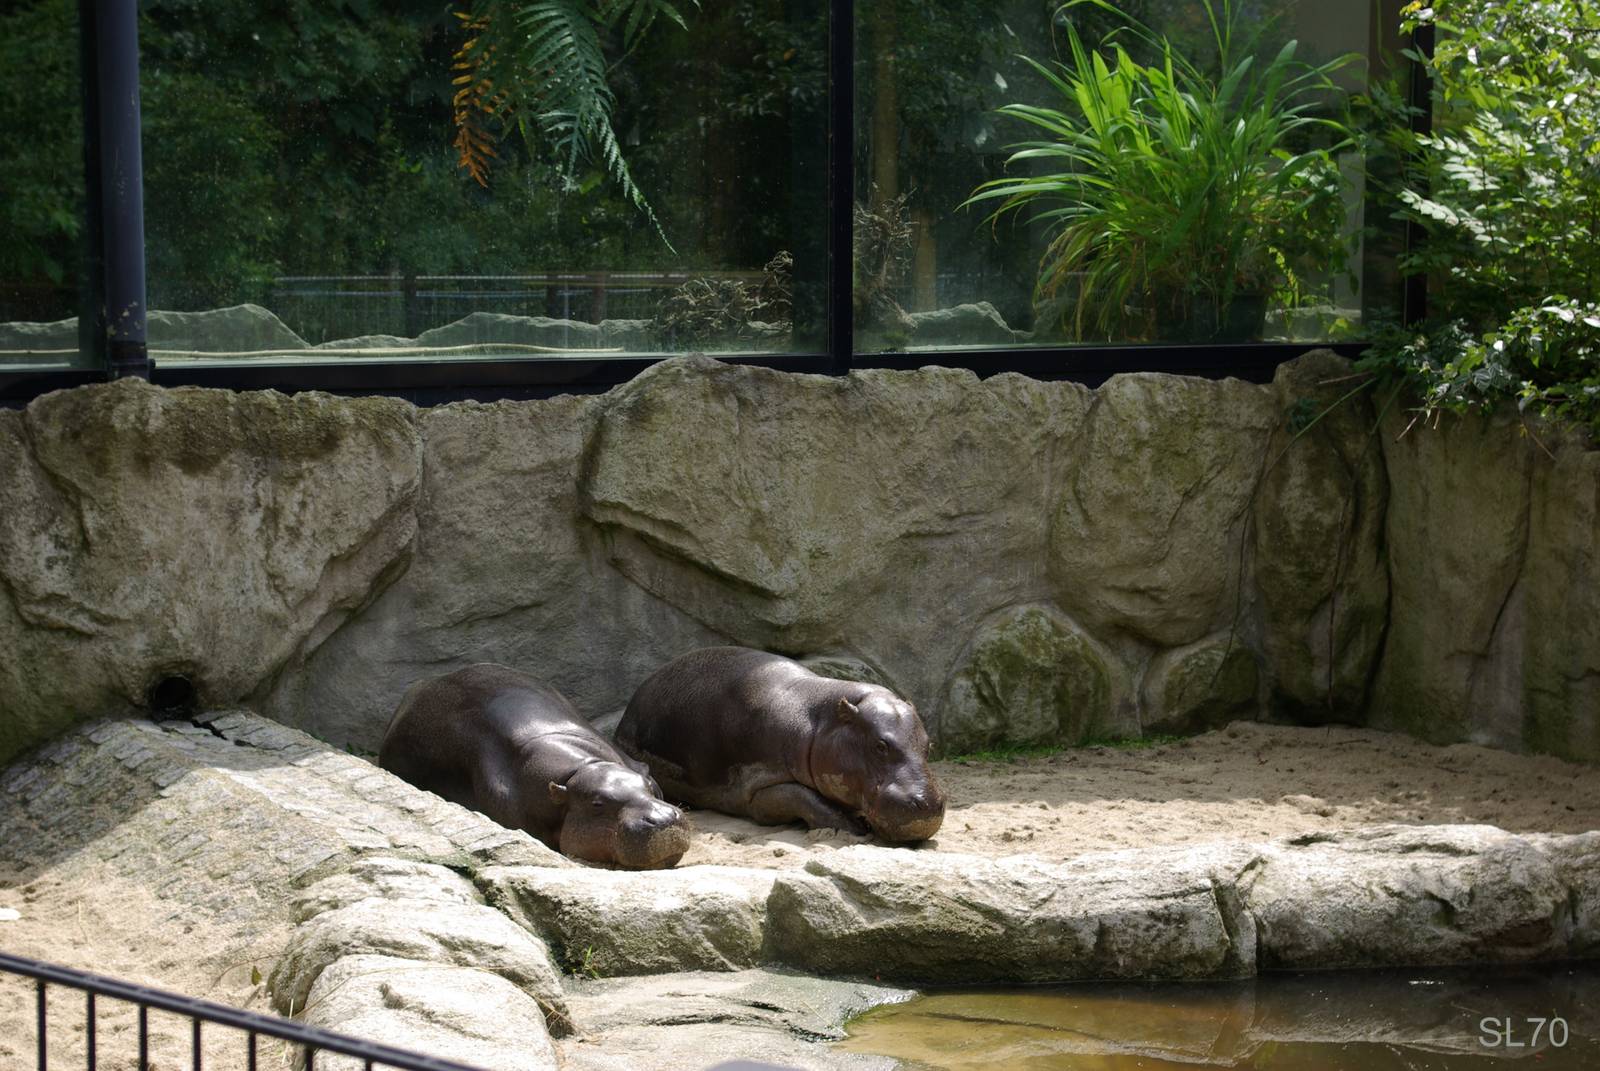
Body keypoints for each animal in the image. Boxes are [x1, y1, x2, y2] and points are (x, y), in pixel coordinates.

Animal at [615, 647, 945, 842]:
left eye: (928, 745)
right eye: (879, 745)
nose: (928, 804)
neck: (821, 721)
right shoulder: (759, 790)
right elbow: (803, 797)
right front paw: (854, 826)